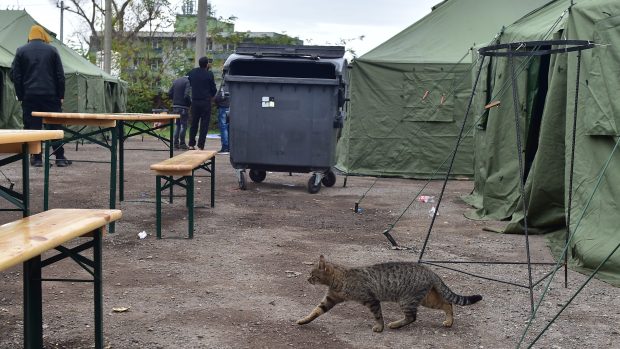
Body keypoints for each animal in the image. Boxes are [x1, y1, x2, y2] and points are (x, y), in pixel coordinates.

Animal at [298, 254, 482, 330]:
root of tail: (430, 270)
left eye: (312, 275)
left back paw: (395, 324)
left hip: (407, 300)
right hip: (426, 299)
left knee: (412, 317)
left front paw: (380, 327)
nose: (307, 279)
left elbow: (378, 315)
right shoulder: (330, 299)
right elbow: (315, 311)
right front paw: (304, 320)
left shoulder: (371, 299)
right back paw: (449, 321)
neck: (340, 279)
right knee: (447, 303)